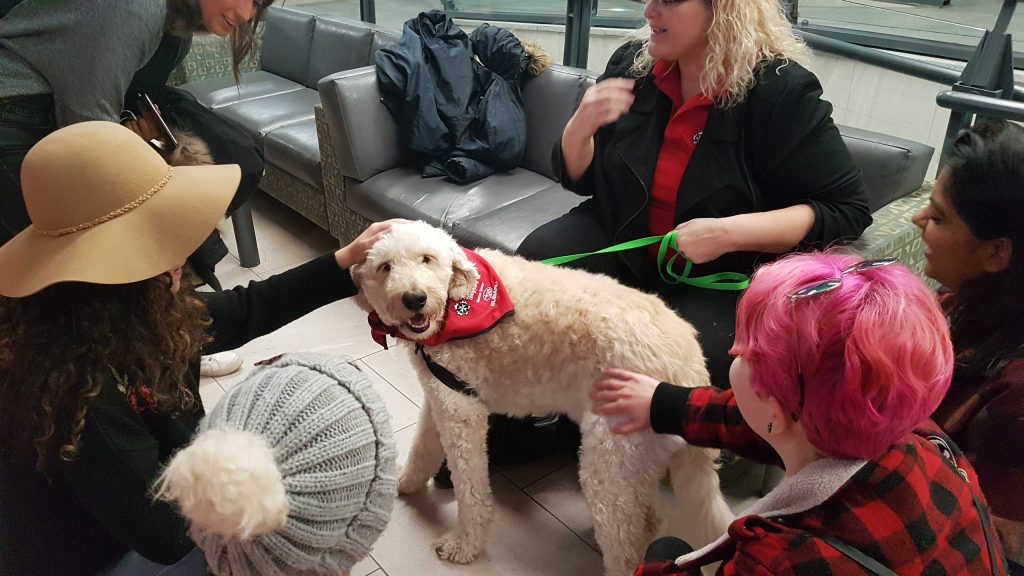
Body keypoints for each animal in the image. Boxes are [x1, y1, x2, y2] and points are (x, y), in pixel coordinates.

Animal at [351, 221, 733, 575]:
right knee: (642, 515)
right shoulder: (441, 397)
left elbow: (471, 490)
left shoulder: (462, 414)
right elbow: (423, 448)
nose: (414, 298)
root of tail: (692, 372)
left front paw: (466, 545)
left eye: (426, 259)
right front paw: (405, 483)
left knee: (624, 552)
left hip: (607, 467)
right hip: (633, 462)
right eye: (385, 266)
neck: (455, 304)